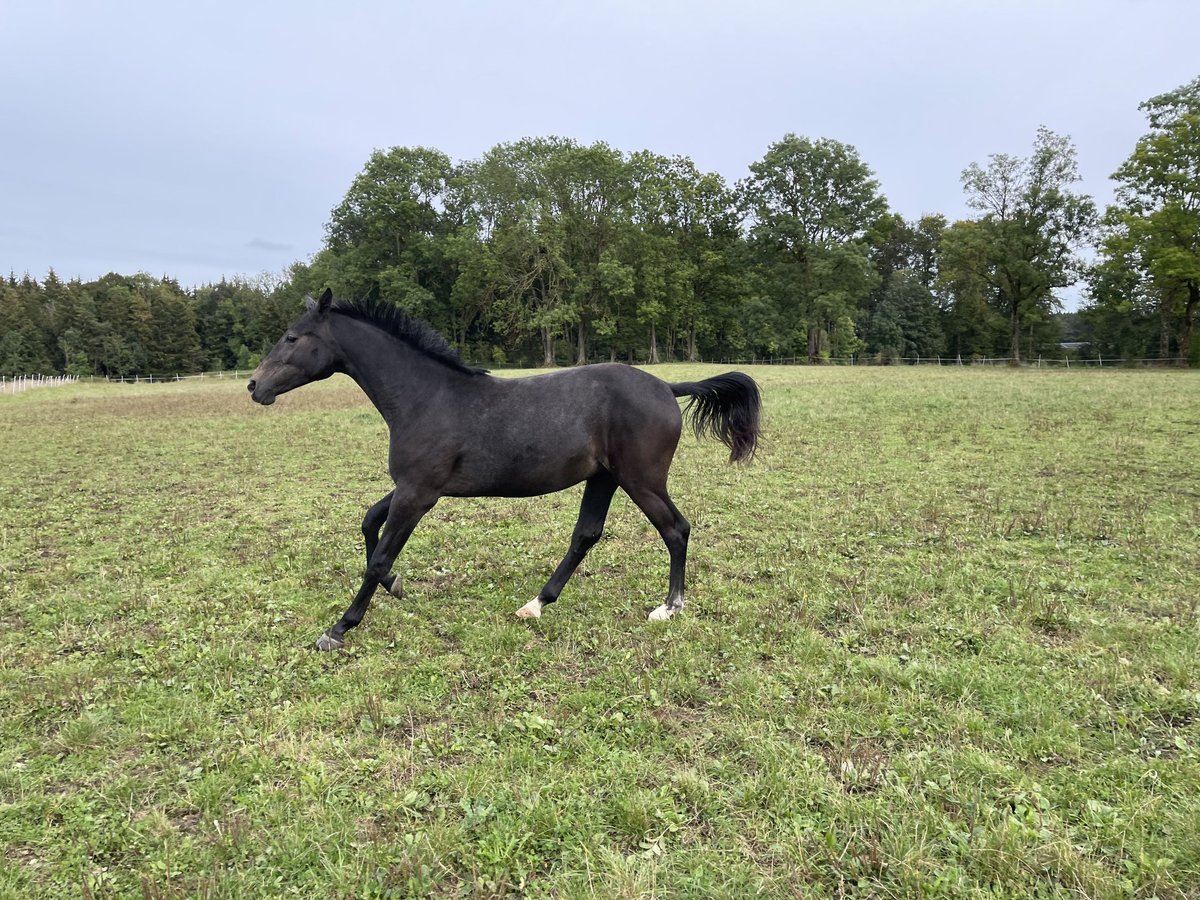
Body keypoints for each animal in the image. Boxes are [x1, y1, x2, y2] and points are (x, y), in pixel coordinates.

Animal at [248, 292, 763, 652]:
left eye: (292, 337)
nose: (254, 386)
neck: (426, 398)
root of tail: (666, 387)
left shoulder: (418, 493)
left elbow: (376, 557)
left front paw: (339, 627)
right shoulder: (412, 488)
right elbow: (369, 523)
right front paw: (395, 585)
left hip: (642, 480)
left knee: (676, 529)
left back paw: (669, 607)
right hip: (605, 478)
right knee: (587, 535)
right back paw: (536, 604)